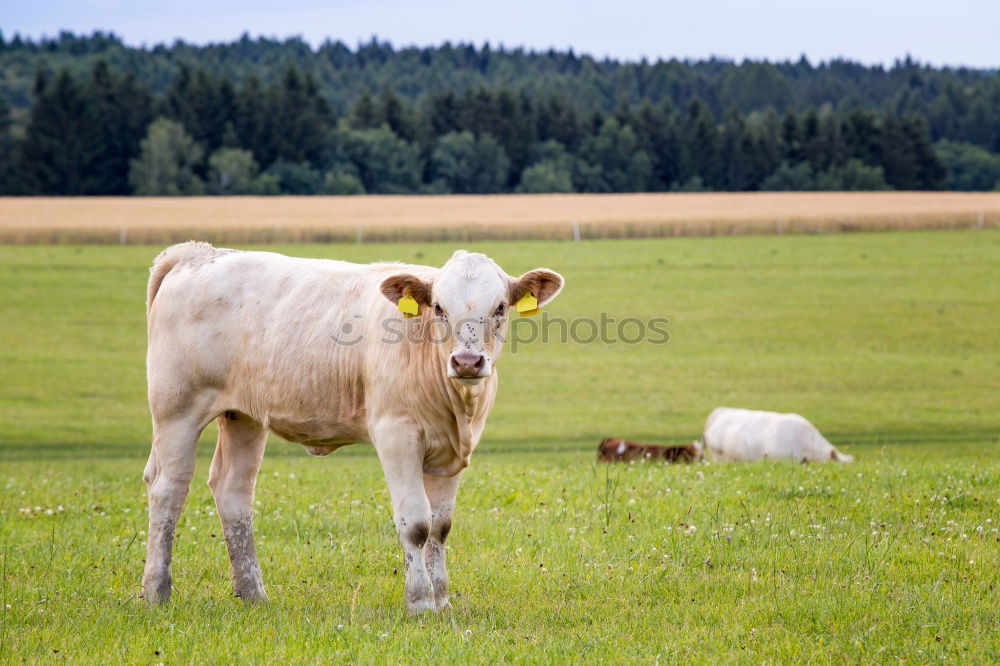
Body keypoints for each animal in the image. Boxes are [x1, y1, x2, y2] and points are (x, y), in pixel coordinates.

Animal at [142, 241, 568, 608]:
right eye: (439, 308)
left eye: (500, 307)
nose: (466, 361)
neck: (456, 408)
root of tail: (197, 253)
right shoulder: (396, 434)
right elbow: (416, 523)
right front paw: (420, 602)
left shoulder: (455, 451)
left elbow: (440, 527)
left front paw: (443, 600)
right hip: (177, 408)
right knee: (168, 488)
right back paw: (156, 592)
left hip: (243, 416)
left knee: (233, 491)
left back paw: (254, 595)